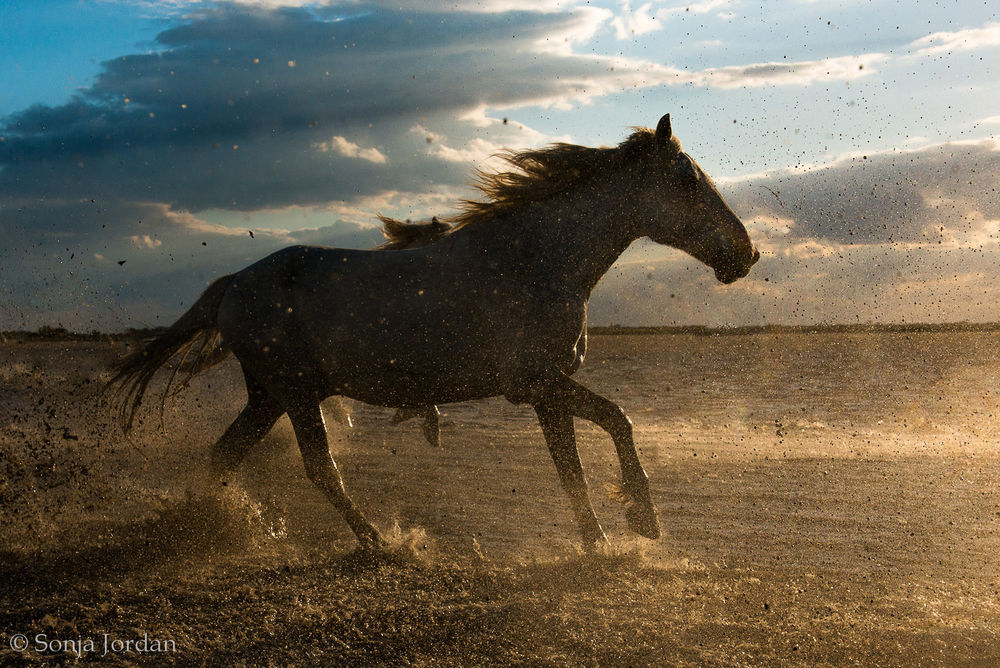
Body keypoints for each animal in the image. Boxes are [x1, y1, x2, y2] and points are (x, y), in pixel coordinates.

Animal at [110, 114, 759, 549]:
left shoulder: (548, 395)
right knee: (320, 469)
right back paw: (380, 544)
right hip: (294, 394)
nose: (747, 253)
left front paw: (599, 546)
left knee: (225, 456)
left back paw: (218, 527)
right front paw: (644, 519)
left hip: (270, 396)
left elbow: (572, 472)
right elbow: (619, 420)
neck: (536, 260)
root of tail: (234, 284)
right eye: (686, 180)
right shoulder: (536, 385)